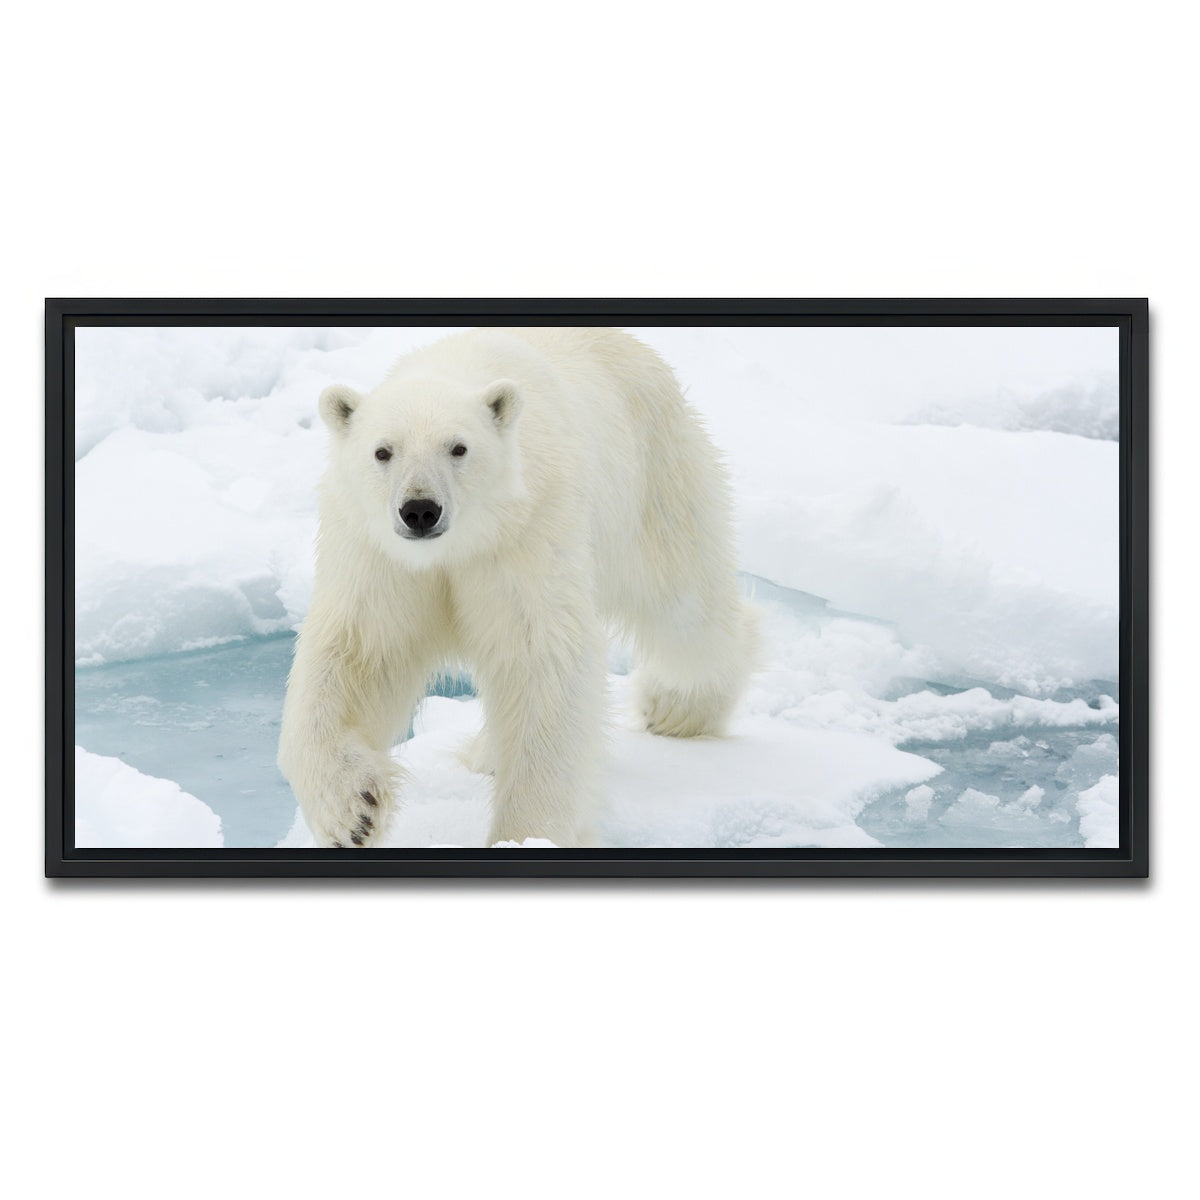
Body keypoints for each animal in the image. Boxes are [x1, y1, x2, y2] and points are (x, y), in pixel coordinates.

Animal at [278, 327, 758, 848]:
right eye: (383, 451)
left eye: (459, 448)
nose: (420, 510)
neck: (458, 547)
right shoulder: (378, 556)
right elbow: (357, 653)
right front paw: (354, 811)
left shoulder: (527, 530)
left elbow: (539, 658)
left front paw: (527, 834)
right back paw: (487, 752)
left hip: (653, 480)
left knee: (684, 608)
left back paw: (675, 708)